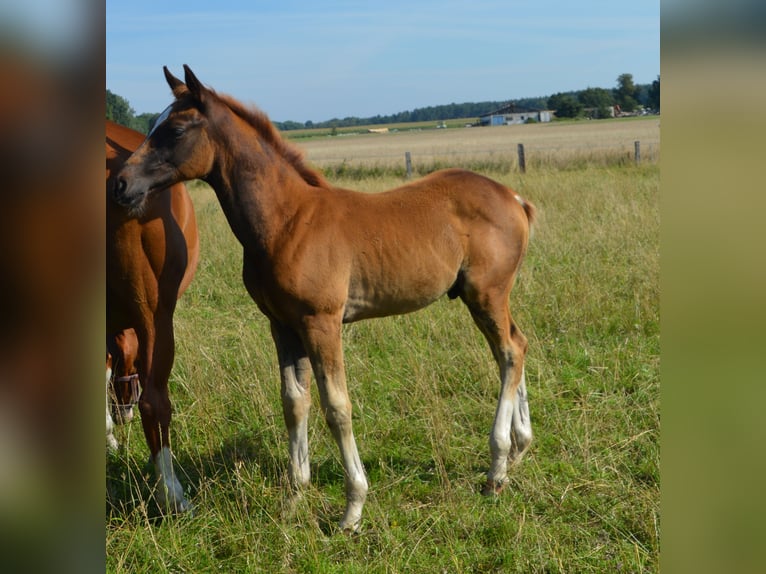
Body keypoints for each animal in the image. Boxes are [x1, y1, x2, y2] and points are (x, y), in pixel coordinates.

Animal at [114, 65, 536, 532]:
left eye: (175, 129)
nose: (121, 183)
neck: (287, 220)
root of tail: (514, 197)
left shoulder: (322, 322)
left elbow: (336, 406)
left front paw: (352, 508)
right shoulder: (282, 325)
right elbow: (294, 403)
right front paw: (293, 499)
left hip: (485, 293)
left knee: (509, 351)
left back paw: (496, 468)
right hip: (484, 296)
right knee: (514, 347)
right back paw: (517, 451)